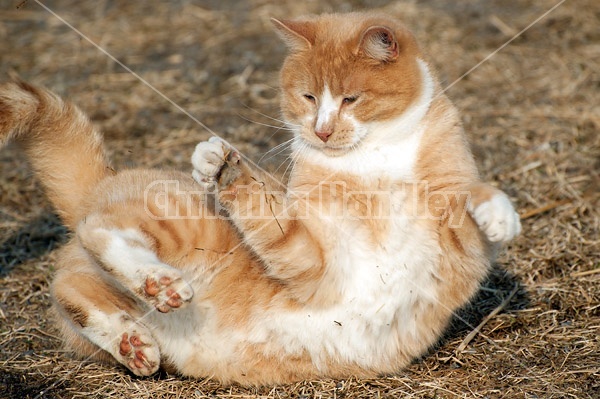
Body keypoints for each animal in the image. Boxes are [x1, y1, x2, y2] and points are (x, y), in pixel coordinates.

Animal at [0, 11, 520, 388]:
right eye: (308, 97)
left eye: (350, 99)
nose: (321, 130)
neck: (371, 162)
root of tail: (105, 179)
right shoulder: (310, 257)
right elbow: (264, 208)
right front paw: (221, 163)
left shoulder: (456, 250)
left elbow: (473, 201)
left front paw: (499, 213)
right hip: (184, 223)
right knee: (95, 235)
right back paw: (159, 282)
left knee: (72, 289)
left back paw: (133, 341)